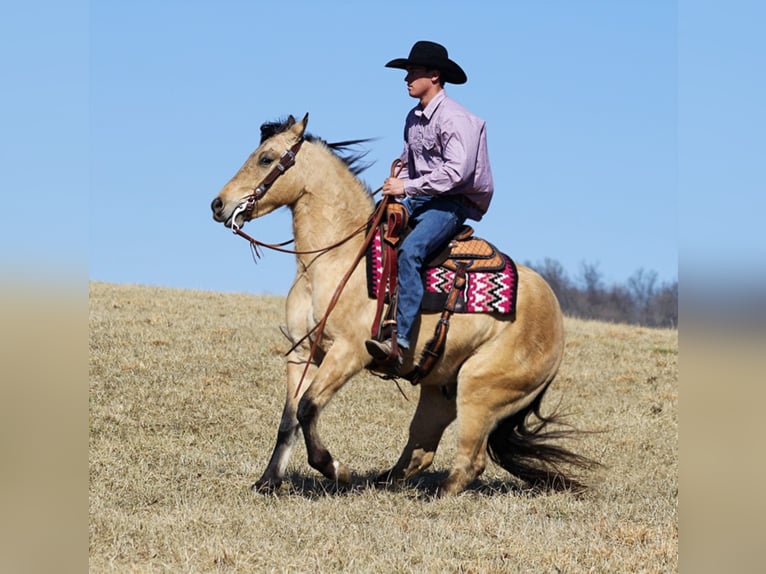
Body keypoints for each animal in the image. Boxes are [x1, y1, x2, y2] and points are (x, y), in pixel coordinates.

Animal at [213, 115, 596, 498]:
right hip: (439, 390)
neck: (333, 259)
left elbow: (308, 407)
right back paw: (384, 482)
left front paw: (336, 470)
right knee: (421, 452)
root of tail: (555, 315)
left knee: (470, 461)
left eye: (266, 158)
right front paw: (268, 481)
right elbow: (288, 418)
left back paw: (432, 494)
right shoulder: (302, 352)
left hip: (480, 388)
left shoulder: (348, 353)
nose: (218, 204)